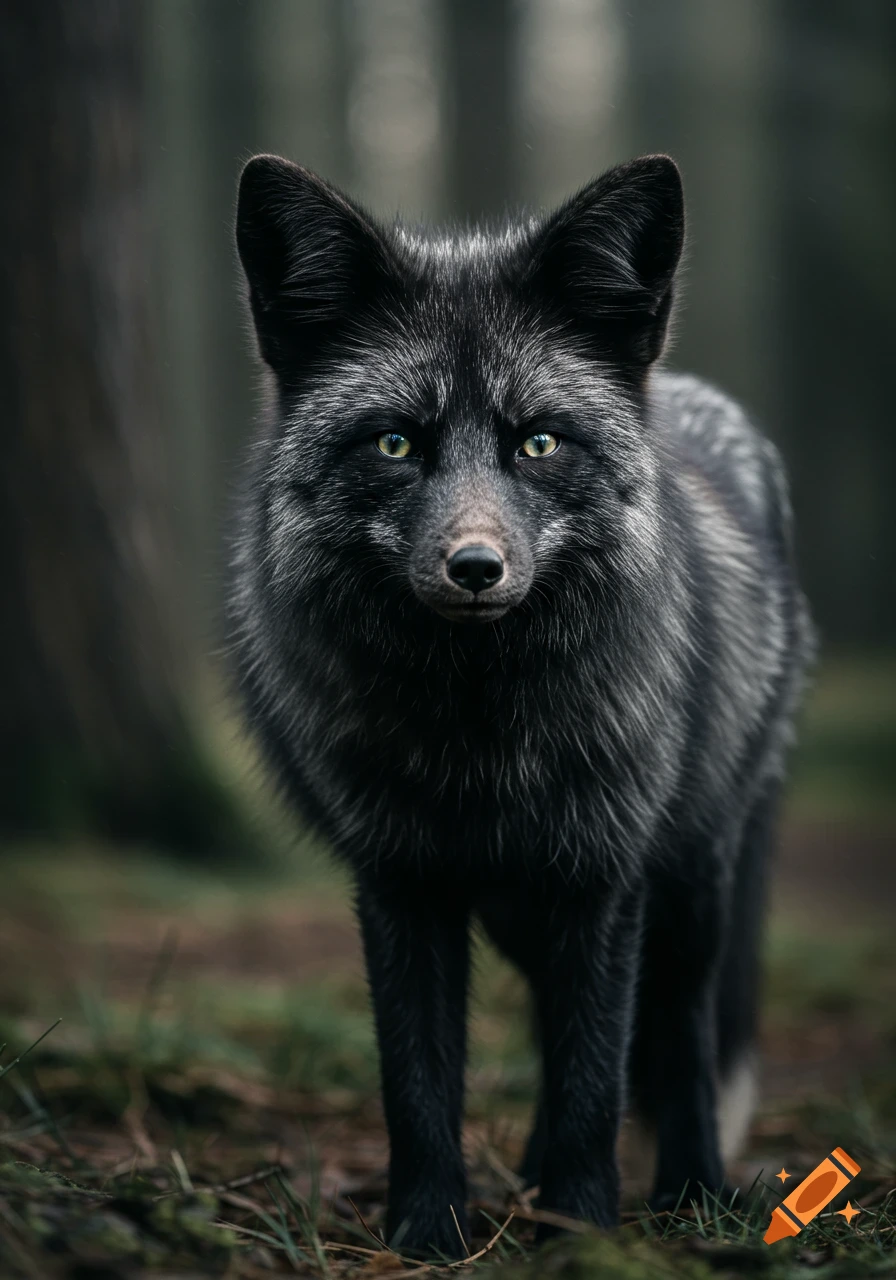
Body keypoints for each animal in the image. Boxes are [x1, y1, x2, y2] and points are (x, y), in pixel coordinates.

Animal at [229, 152, 813, 1258]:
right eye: (396, 444)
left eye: (537, 443)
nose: (473, 567)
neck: (482, 743)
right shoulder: (402, 878)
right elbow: (419, 1081)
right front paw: (426, 1233)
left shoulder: (601, 872)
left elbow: (597, 1074)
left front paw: (582, 1230)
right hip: (518, 909)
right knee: (554, 1022)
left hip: (692, 876)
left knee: (675, 1035)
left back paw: (691, 1196)